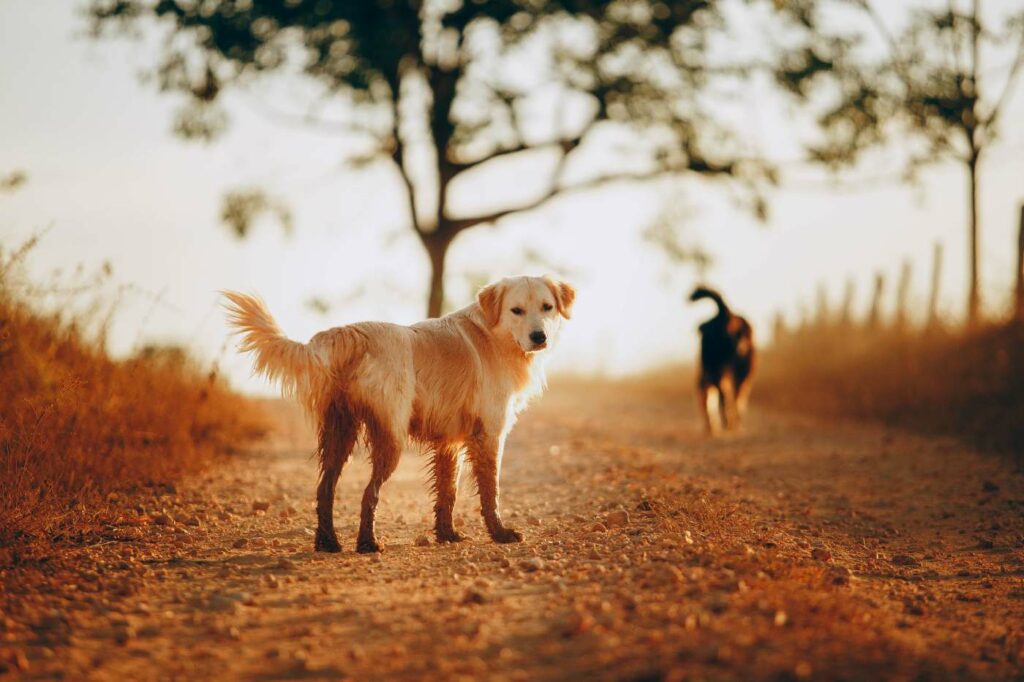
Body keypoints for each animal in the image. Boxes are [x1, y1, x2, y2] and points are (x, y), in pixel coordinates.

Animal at [226, 274, 577, 548]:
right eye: (517, 310)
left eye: (547, 307)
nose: (539, 337)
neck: (493, 334)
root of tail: (349, 334)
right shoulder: (490, 433)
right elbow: (490, 490)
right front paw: (500, 533)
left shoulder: (449, 442)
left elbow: (447, 491)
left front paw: (447, 534)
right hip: (390, 438)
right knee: (369, 493)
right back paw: (367, 543)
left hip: (340, 432)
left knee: (325, 488)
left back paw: (328, 542)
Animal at [692, 284, 757, 432]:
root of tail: (725, 314)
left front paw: (712, 426)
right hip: (745, 370)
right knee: (737, 396)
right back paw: (734, 423)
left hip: (719, 368)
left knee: (725, 395)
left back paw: (726, 422)